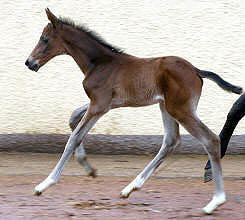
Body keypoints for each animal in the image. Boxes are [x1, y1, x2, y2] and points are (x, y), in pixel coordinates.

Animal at [24, 8, 241, 213]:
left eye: (45, 39)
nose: (29, 62)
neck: (99, 63)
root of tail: (196, 70)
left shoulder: (99, 105)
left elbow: (73, 138)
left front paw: (45, 184)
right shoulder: (103, 104)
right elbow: (73, 118)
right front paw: (88, 168)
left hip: (180, 109)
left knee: (210, 140)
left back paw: (215, 201)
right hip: (166, 107)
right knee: (171, 141)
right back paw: (131, 188)